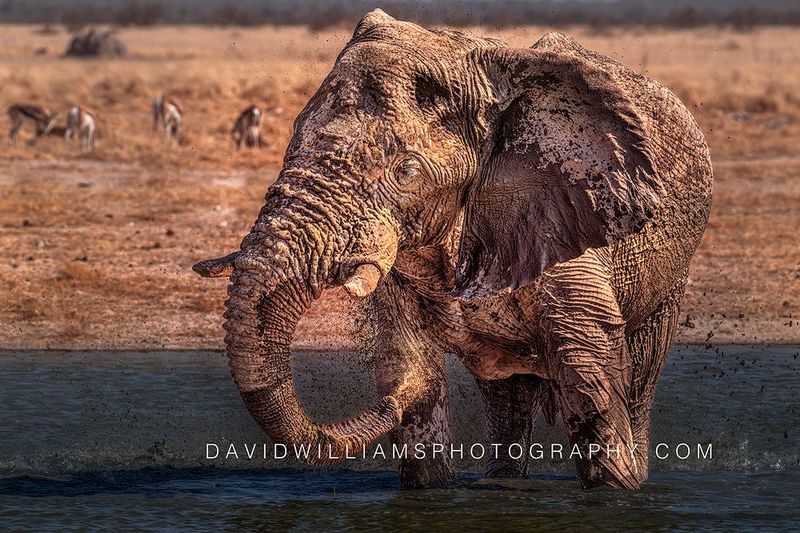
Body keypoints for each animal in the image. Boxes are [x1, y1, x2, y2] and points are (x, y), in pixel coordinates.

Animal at [194, 9, 712, 490]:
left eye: (406, 171)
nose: (390, 402)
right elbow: (409, 361)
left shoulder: (568, 224)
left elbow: (589, 373)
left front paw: (614, 495)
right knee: (507, 394)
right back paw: (501, 483)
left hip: (671, 274)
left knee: (639, 377)